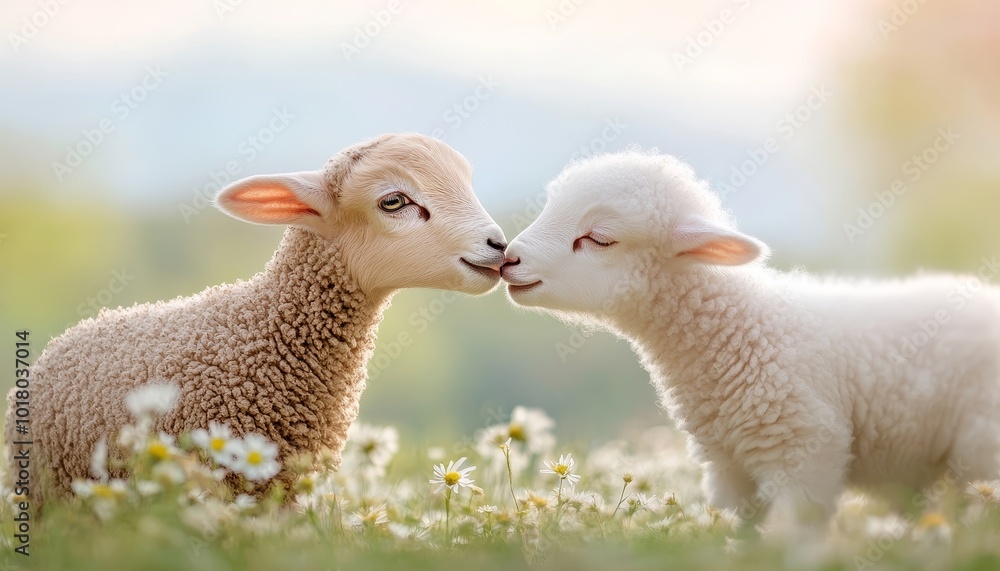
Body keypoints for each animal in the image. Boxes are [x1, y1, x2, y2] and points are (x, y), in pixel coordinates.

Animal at [501, 149, 1000, 529]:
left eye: (599, 238)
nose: (509, 259)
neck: (745, 330)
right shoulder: (728, 468)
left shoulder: (806, 452)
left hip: (981, 450)